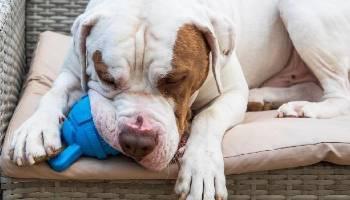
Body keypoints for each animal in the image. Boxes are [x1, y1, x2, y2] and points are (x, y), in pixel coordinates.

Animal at [8, 0, 350, 199]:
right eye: (106, 77)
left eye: (175, 79)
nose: (136, 141)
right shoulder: (72, 68)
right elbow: (54, 91)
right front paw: (34, 131)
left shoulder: (231, 92)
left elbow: (208, 117)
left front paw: (201, 168)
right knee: (311, 85)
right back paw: (267, 97)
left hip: (300, 10)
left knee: (339, 92)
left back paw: (304, 109)